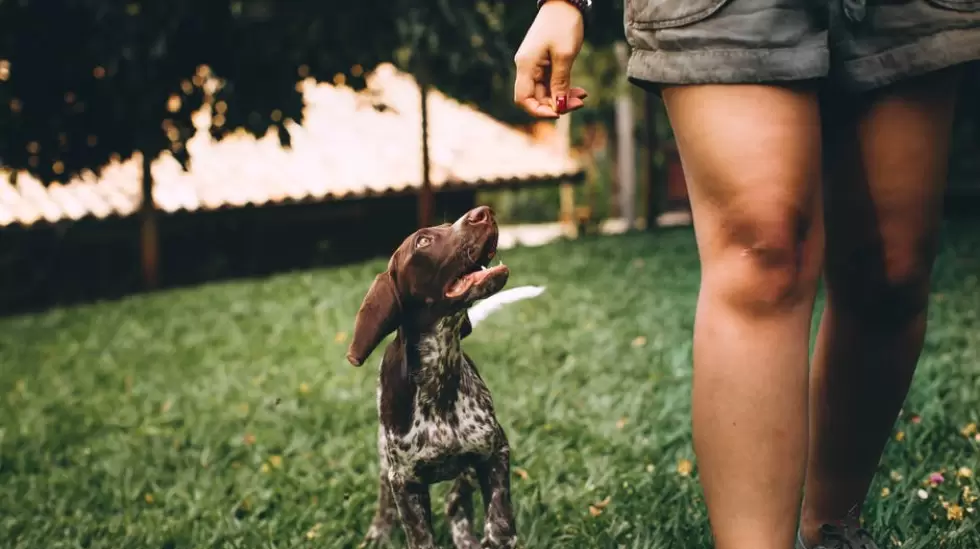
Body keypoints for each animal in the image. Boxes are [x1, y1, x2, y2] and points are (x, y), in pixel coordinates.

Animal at [348, 206, 524, 548]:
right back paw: (379, 530)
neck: (438, 378)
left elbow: (498, 519)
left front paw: (494, 535)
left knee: (457, 498)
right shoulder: (405, 483)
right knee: (386, 498)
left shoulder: (494, 450)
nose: (483, 212)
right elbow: (420, 535)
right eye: (423, 241)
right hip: (384, 457)